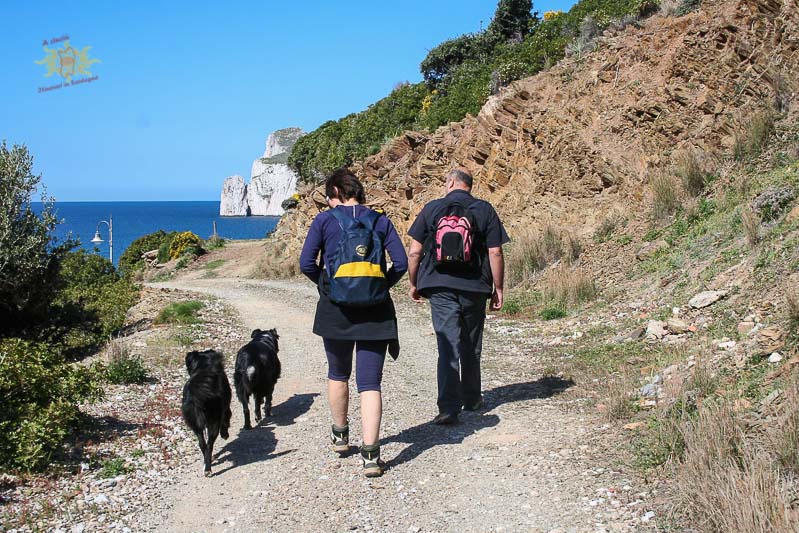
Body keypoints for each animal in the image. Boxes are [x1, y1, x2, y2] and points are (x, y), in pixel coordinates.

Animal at [181, 348, 231, 476]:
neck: (203, 366)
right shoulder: (225, 409)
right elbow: (226, 420)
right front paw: (225, 434)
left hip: (195, 424)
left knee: (202, 444)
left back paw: (206, 464)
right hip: (214, 421)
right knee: (209, 444)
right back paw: (208, 469)